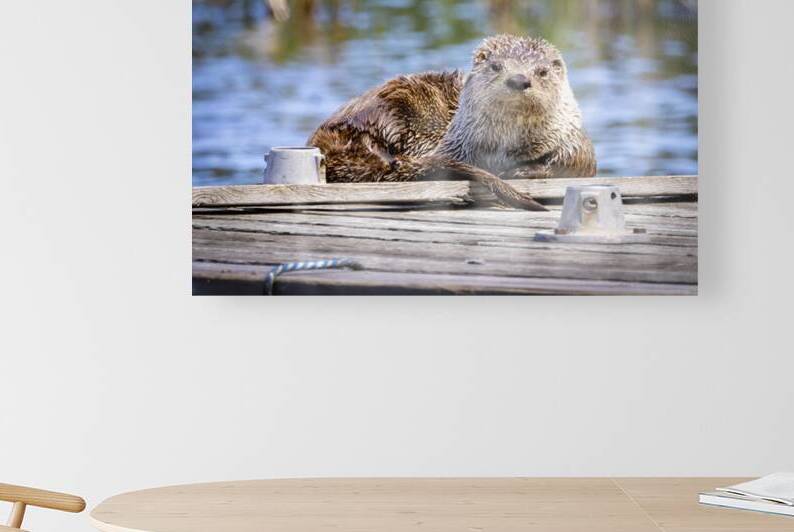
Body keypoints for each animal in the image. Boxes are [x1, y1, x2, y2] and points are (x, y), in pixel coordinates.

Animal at [308, 35, 596, 211]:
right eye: (496, 66)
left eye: (542, 71)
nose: (519, 79)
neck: (511, 148)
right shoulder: (457, 145)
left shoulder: (572, 140)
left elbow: (575, 164)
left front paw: (522, 171)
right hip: (390, 108)